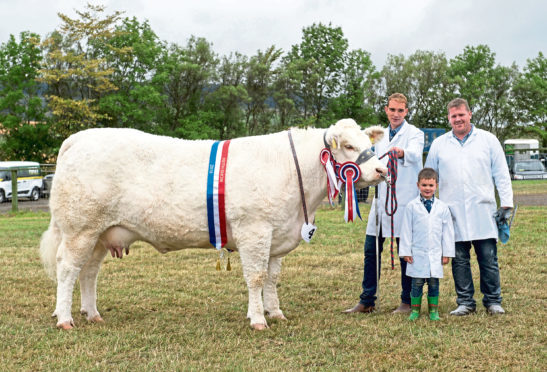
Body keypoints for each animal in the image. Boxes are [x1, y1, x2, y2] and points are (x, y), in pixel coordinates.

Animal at [40, 118, 388, 328]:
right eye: (349, 146)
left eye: (367, 143)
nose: (381, 171)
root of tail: (78, 138)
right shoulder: (254, 231)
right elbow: (256, 278)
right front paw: (258, 319)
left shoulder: (277, 236)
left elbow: (273, 278)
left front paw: (276, 312)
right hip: (80, 229)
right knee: (67, 269)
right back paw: (65, 318)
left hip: (101, 233)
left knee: (89, 272)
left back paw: (93, 314)